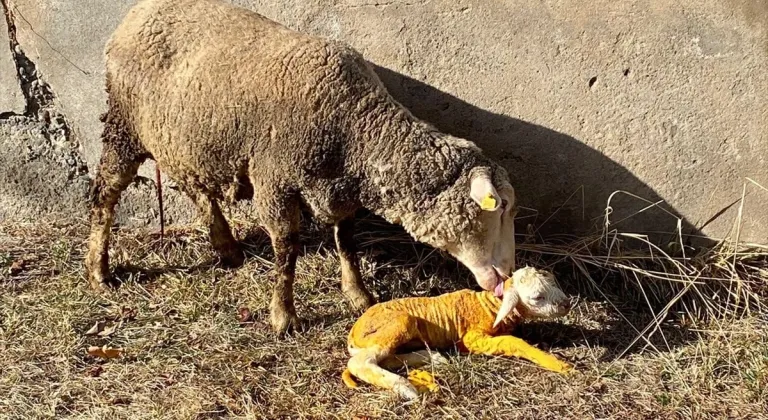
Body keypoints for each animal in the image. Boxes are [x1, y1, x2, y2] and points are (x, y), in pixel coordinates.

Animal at [84, 0, 520, 334]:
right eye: (498, 209)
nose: (508, 273)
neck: (357, 126)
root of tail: (137, 12)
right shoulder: (274, 182)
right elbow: (287, 250)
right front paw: (284, 316)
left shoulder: (340, 190)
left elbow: (347, 242)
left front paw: (358, 294)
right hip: (124, 126)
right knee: (105, 193)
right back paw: (98, 270)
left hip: (184, 137)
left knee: (194, 186)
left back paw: (226, 247)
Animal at [340, 266, 568, 400]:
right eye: (537, 297)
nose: (566, 304)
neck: (491, 305)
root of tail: (354, 332)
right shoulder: (470, 339)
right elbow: (511, 341)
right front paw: (558, 364)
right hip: (397, 324)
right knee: (359, 363)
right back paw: (405, 387)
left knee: (386, 358)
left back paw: (432, 357)